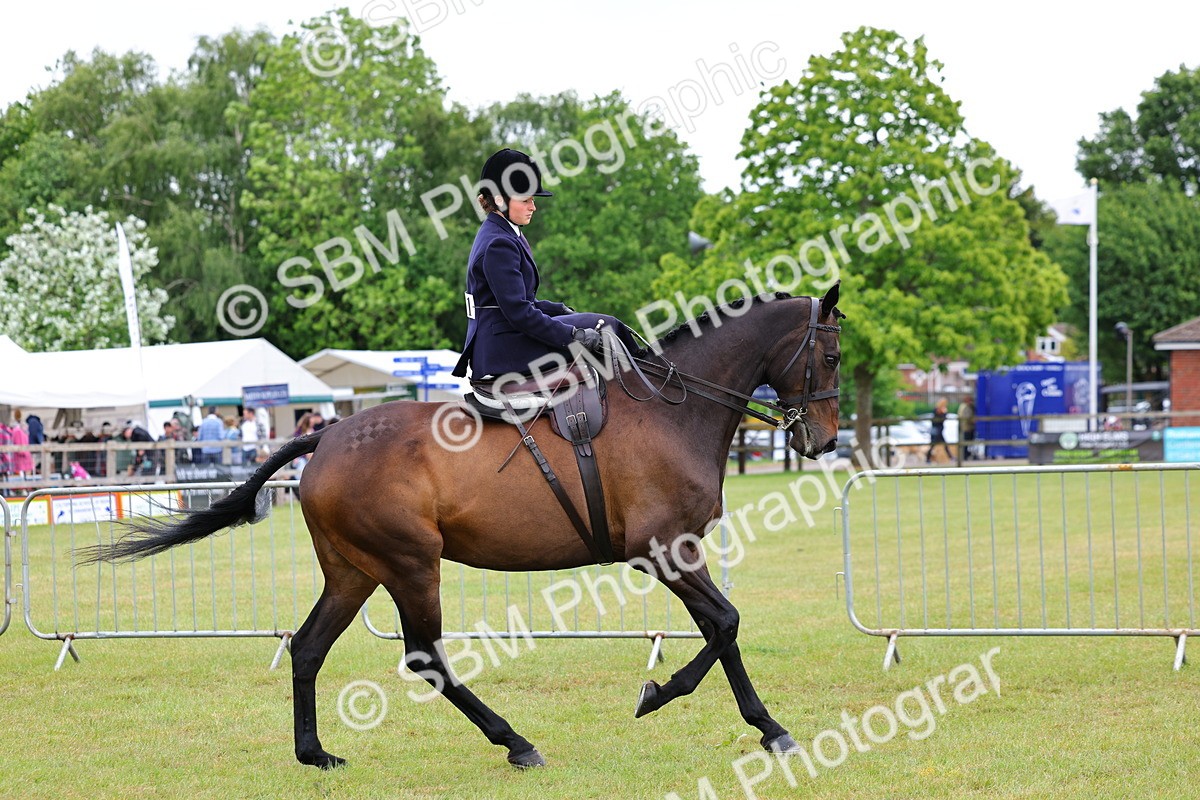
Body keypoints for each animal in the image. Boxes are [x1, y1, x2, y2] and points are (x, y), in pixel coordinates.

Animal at [80, 282, 843, 770]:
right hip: (411, 565)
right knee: (425, 656)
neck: (669, 407)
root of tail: (326, 436)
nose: (826, 440)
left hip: (354, 571)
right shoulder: (664, 552)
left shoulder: (674, 554)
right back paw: (515, 742)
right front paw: (724, 715)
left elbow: (721, 626)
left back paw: (314, 754)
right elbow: (726, 625)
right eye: (831, 356)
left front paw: (713, 710)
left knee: (308, 648)